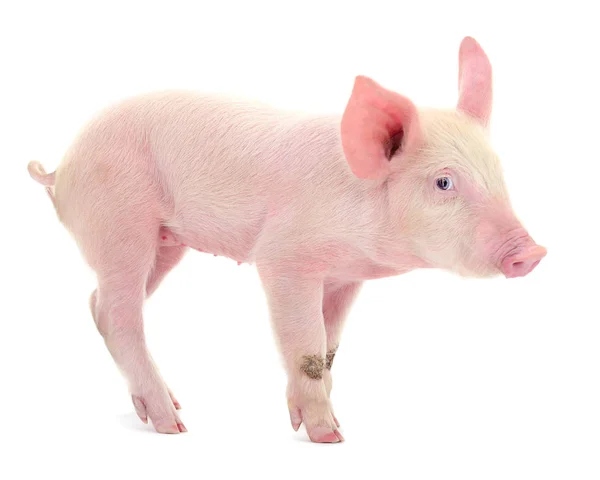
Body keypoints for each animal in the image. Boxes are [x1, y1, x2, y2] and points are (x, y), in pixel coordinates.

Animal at [27, 37, 544, 442]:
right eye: (444, 182)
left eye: (498, 173)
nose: (533, 251)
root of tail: (63, 166)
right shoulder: (284, 258)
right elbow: (307, 346)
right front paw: (329, 437)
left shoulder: (346, 277)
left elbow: (330, 346)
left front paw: (322, 425)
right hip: (120, 225)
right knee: (119, 315)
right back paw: (174, 424)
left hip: (164, 242)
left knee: (98, 305)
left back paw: (167, 408)